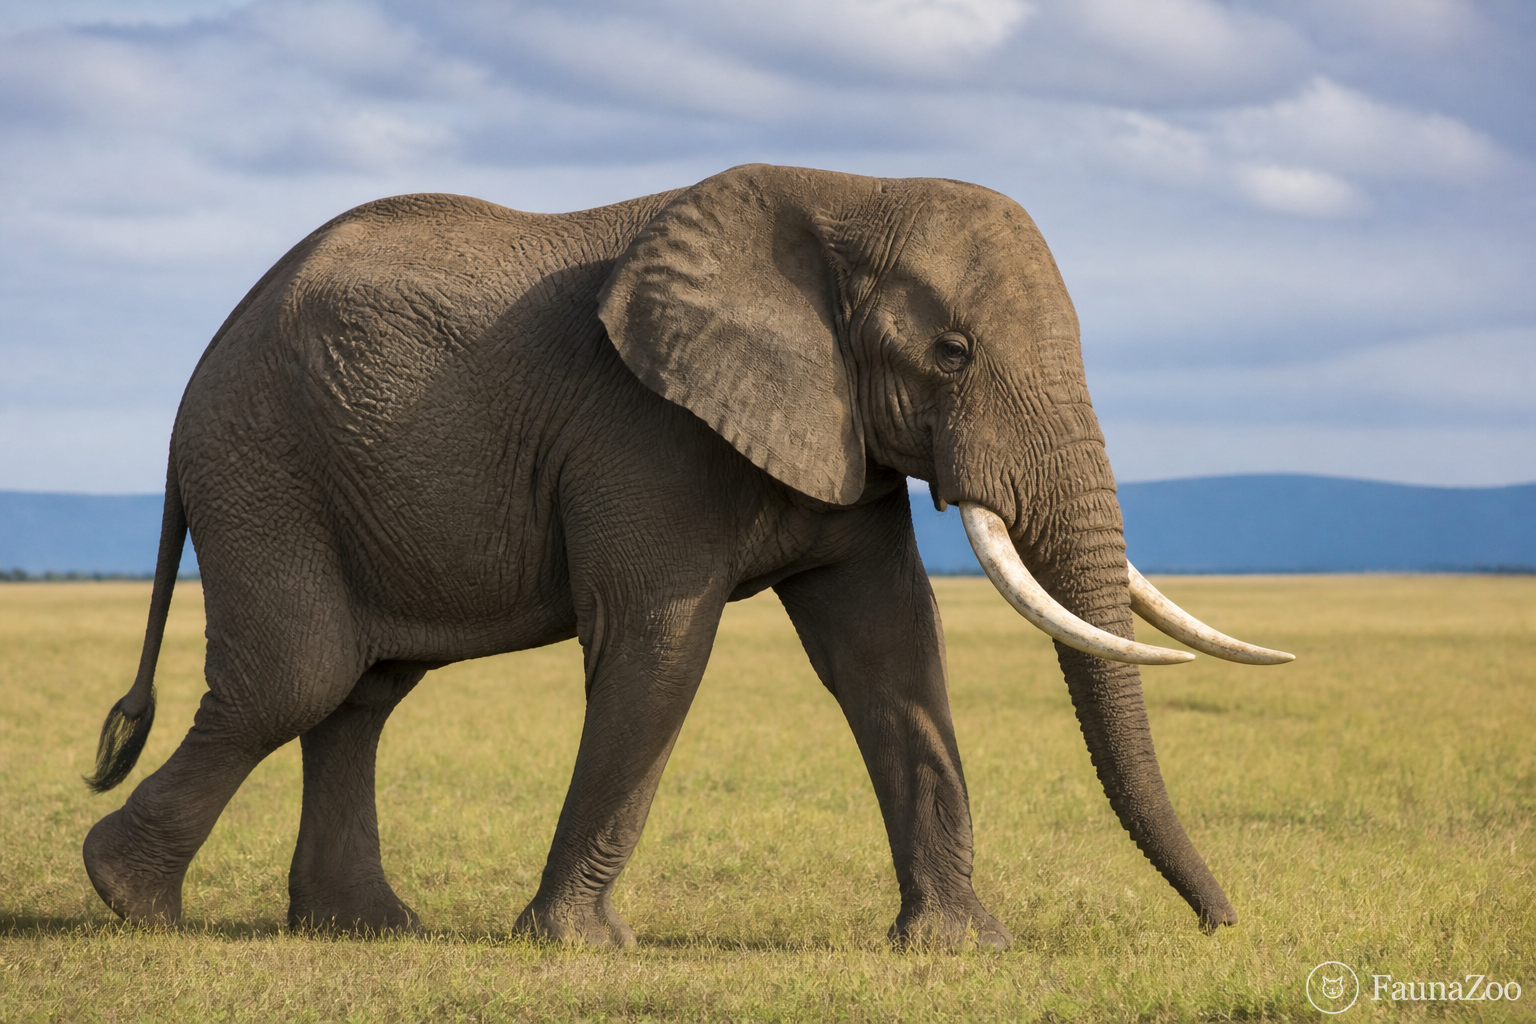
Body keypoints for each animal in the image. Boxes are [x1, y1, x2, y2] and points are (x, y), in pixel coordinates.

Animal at [82, 163, 1292, 948]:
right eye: (952, 353)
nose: (1220, 924)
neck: (844, 195)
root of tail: (198, 370)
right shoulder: (641, 432)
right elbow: (659, 646)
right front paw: (577, 948)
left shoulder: (839, 433)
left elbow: (892, 654)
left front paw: (960, 949)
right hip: (263, 465)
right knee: (300, 676)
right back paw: (127, 902)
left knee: (362, 691)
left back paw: (363, 930)